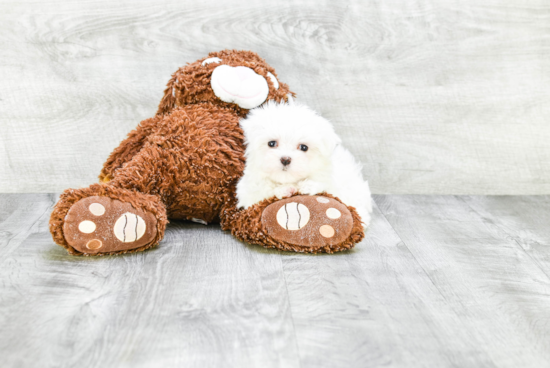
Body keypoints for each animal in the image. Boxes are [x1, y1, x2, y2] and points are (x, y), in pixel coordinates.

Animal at [237, 100, 376, 227]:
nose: (285, 159)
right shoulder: (247, 192)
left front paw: (308, 186)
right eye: (271, 143)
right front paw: (283, 190)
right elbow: (262, 192)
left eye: (304, 147)